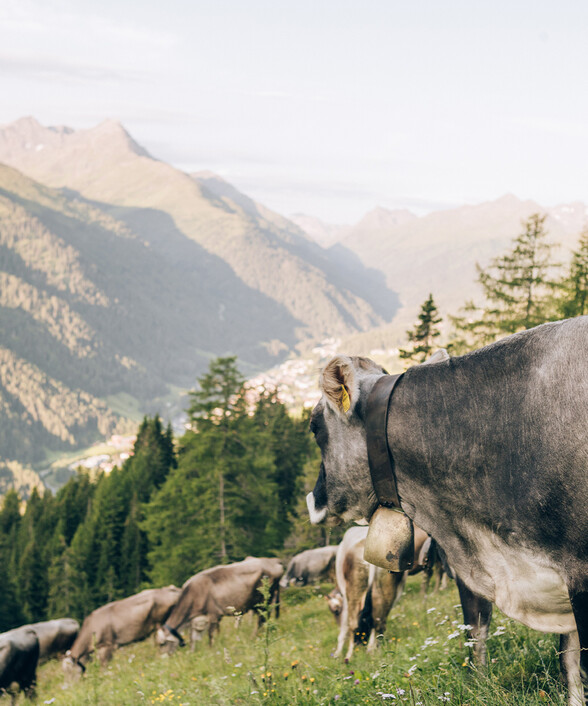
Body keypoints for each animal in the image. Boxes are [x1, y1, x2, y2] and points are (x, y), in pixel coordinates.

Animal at [327, 526, 405, 660]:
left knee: (354, 625)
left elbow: (344, 628)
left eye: (334, 611)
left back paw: (349, 656)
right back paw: (372, 651)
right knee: (379, 622)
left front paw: (337, 653)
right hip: (385, 589)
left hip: (355, 589)